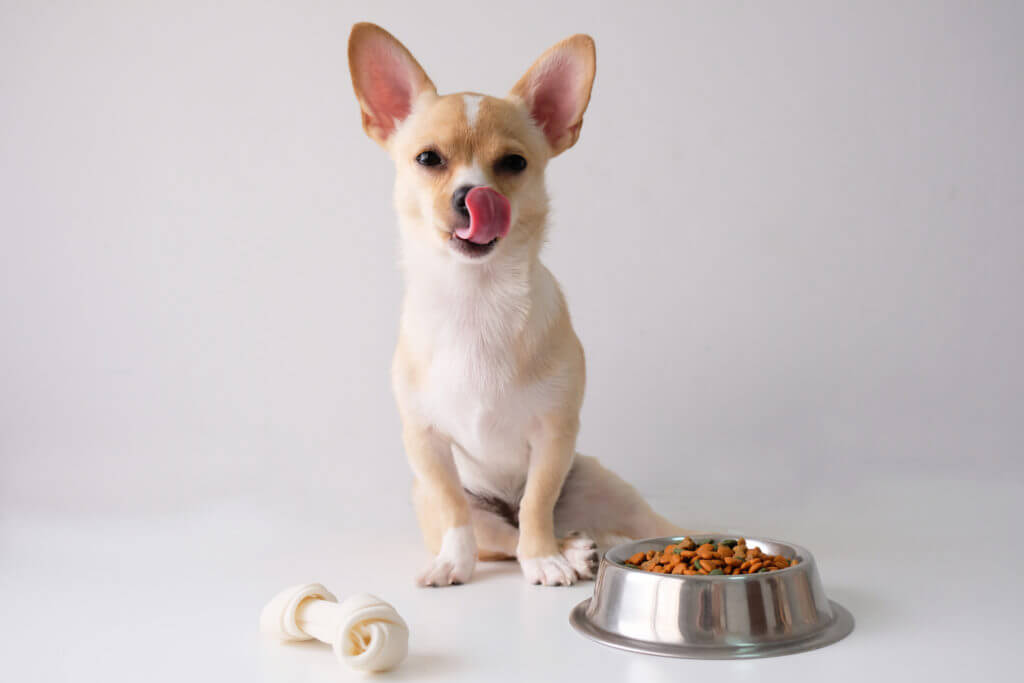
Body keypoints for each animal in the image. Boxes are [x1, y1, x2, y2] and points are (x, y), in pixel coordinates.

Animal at [348, 24, 684, 585]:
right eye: (428, 159)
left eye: (514, 164)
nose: (473, 195)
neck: (476, 298)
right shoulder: (427, 445)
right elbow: (456, 508)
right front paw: (455, 563)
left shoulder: (554, 437)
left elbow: (536, 503)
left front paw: (544, 558)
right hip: (453, 504)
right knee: (501, 537)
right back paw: (572, 549)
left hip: (595, 479)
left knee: (616, 522)